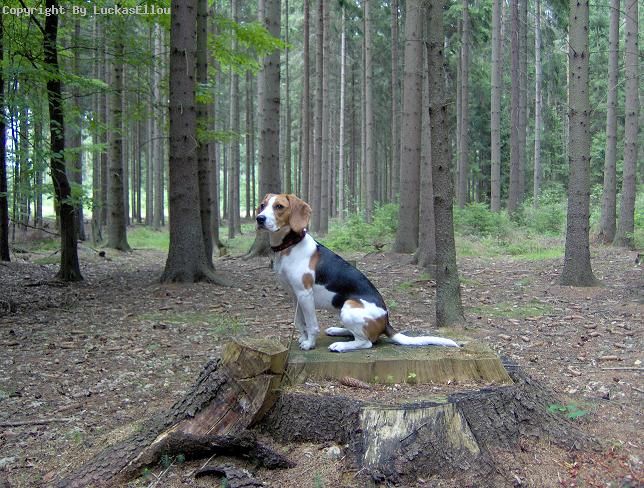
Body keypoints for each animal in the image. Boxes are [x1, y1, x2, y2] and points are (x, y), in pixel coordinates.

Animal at [256, 193, 460, 352]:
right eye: (263, 205)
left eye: (279, 206)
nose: (259, 218)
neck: (289, 246)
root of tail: (386, 321)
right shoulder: (294, 295)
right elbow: (300, 323)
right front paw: (302, 338)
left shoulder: (305, 294)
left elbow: (312, 324)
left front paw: (309, 343)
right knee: (360, 335)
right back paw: (338, 331)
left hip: (349, 306)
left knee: (366, 342)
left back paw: (340, 345)